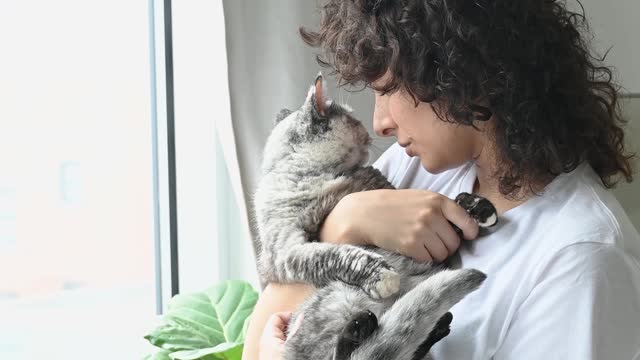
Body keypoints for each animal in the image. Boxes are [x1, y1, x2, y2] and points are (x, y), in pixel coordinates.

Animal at [252, 74, 498, 358]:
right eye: (353, 118)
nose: (370, 131)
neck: (318, 174)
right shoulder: (287, 249)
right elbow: (335, 255)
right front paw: (381, 276)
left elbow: (450, 211)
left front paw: (477, 207)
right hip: (339, 297)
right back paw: (360, 329)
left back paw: (433, 328)